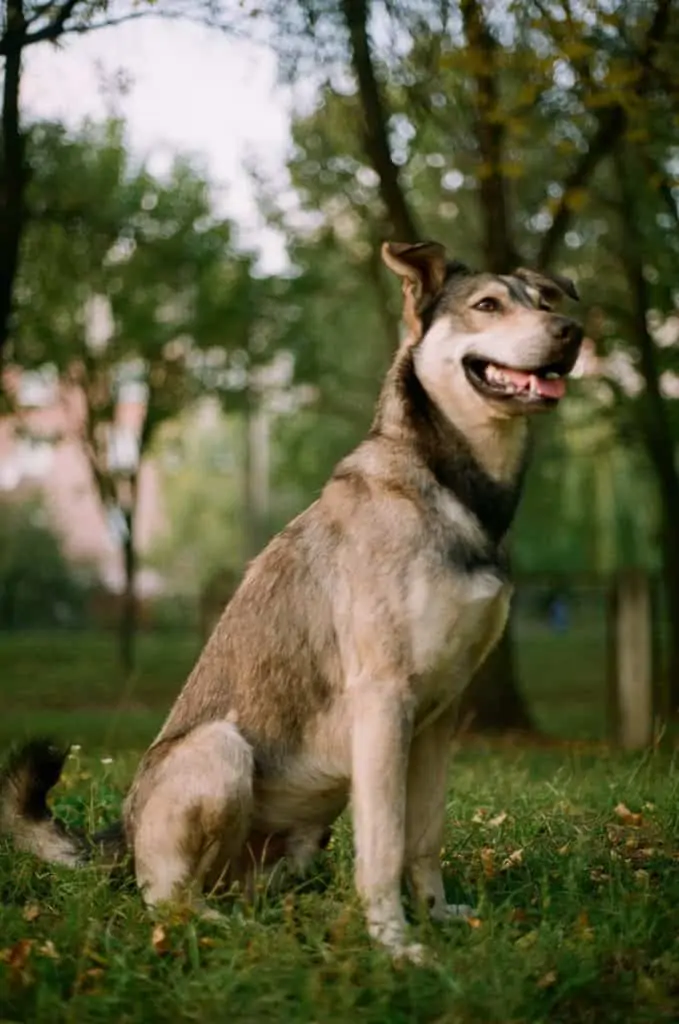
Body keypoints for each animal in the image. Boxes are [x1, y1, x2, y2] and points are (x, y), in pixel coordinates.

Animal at [1, 239, 585, 958]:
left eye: (544, 300)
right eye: (487, 305)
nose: (572, 333)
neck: (452, 486)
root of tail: (123, 833)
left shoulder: (439, 716)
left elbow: (422, 836)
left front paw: (437, 916)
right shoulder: (383, 701)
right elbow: (385, 844)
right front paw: (394, 944)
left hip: (300, 835)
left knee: (236, 886)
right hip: (220, 752)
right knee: (167, 897)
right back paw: (226, 929)